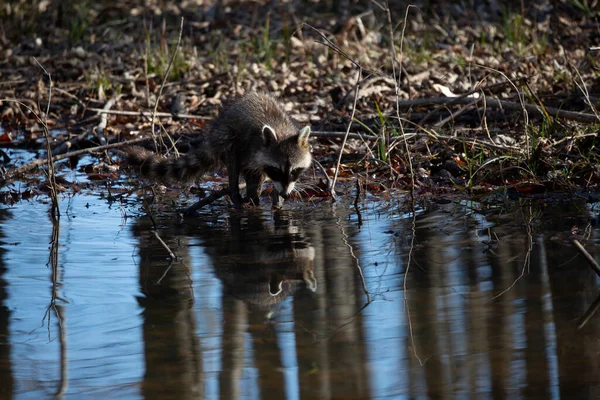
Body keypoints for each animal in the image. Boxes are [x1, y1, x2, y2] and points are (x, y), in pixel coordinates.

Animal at [124, 92, 312, 208]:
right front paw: (254, 194)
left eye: (294, 170)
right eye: (276, 170)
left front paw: (277, 196)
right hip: (227, 135)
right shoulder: (250, 148)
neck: (280, 130)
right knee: (233, 158)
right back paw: (238, 191)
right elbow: (248, 170)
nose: (285, 194)